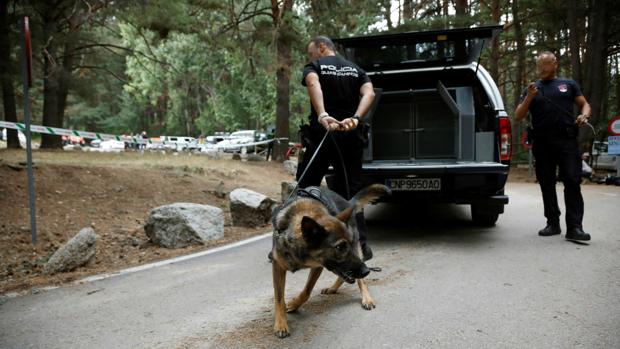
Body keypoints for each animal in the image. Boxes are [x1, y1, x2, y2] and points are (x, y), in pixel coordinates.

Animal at [270, 184, 388, 336]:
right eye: (339, 247)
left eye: (349, 244)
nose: (367, 271)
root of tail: (348, 202)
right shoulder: (278, 266)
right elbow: (279, 298)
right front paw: (281, 324)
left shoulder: (318, 266)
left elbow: (307, 291)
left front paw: (295, 304)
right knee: (345, 276)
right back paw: (333, 288)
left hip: (357, 256)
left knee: (360, 281)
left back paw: (366, 298)